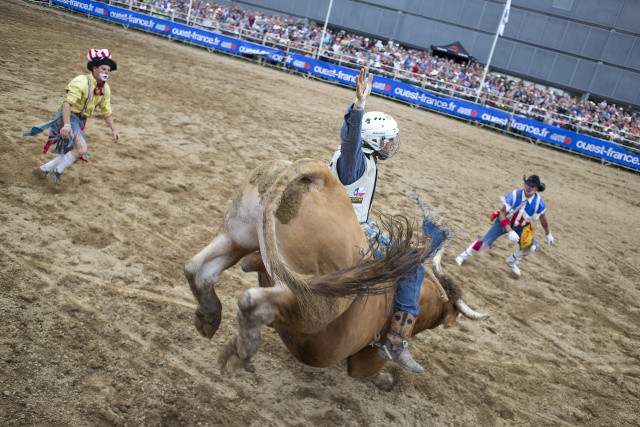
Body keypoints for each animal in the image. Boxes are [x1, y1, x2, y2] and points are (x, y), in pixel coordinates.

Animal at [182, 160, 488, 378]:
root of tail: (318, 175)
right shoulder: (368, 359)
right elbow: (372, 372)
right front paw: (393, 374)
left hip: (238, 234)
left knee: (197, 268)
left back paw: (208, 317)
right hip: (321, 299)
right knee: (254, 302)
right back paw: (238, 354)